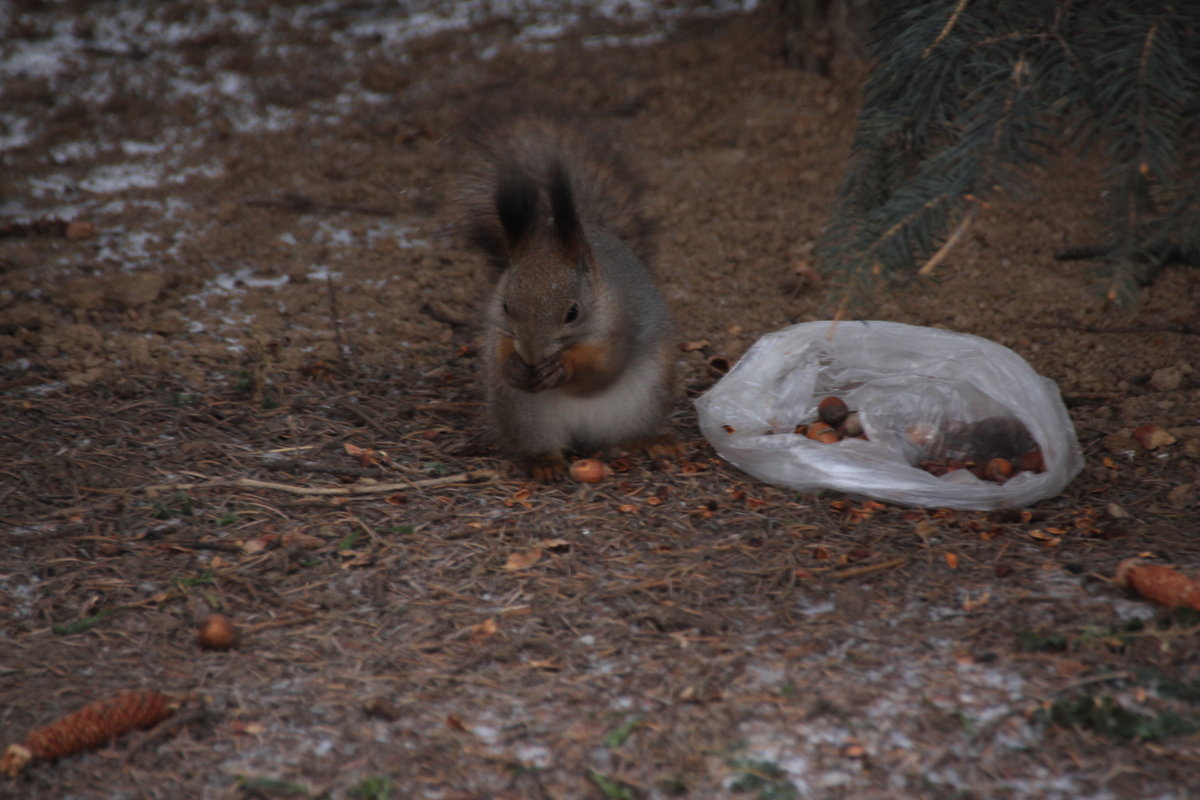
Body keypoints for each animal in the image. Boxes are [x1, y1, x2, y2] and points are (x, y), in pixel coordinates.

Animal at [458, 112, 681, 482]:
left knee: (631, 431)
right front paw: (513, 366)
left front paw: (563, 368)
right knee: (538, 440)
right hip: (523, 413)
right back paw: (544, 462)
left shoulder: (623, 322)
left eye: (573, 313)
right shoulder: (501, 329)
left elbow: (602, 370)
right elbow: (501, 350)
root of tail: (583, 433)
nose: (532, 357)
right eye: (505, 305)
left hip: (647, 397)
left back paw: (651, 441)